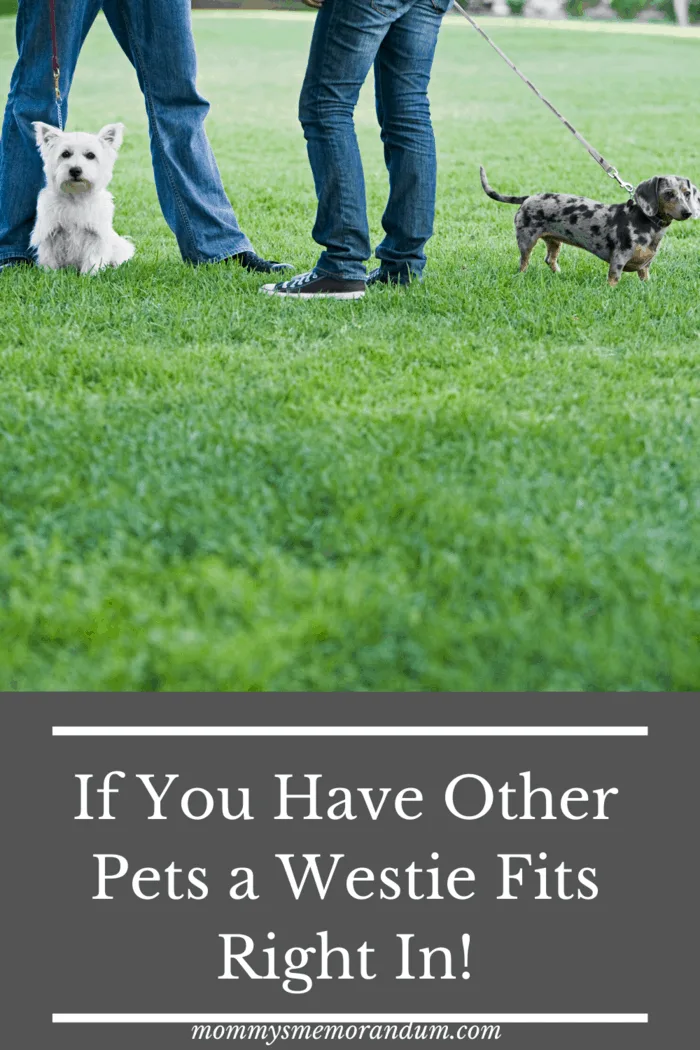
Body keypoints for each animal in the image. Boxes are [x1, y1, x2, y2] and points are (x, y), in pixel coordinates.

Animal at [30, 120, 134, 275]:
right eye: (65, 154)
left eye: (91, 155)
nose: (75, 170)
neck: (76, 197)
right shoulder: (50, 233)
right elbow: (49, 257)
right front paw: (50, 274)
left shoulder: (95, 235)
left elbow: (92, 258)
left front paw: (88, 276)